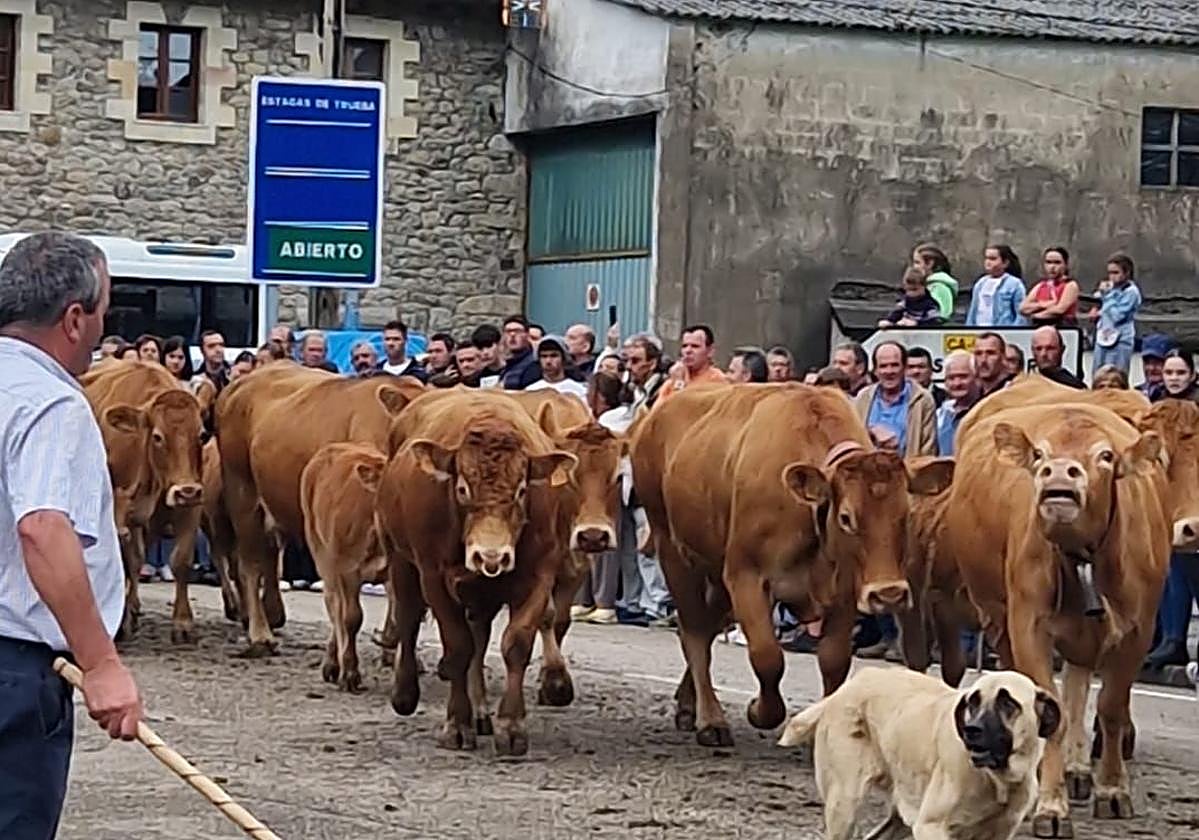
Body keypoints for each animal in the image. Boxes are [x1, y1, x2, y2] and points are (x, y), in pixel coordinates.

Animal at [80, 361, 205, 642]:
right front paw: (122, 621)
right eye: (158, 437)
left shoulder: (189, 507)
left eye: (201, 434)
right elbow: (129, 561)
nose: (187, 491)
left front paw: (183, 622)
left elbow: (181, 560)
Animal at [301, 442, 389, 693]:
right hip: (321, 552)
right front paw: (350, 672)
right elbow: (351, 617)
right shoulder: (347, 571)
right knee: (333, 605)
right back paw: (333, 664)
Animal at [376, 389, 576, 755]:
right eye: (462, 489)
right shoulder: (433, 576)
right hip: (400, 558)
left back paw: (482, 711)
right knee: (408, 617)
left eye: (522, 491)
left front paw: (511, 727)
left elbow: (515, 645)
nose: (490, 554)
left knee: (479, 634)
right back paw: (405, 693)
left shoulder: (539, 576)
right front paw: (457, 724)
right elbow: (458, 647)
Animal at [628, 382, 954, 746]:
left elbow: (834, 660)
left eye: (906, 514)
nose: (888, 594)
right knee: (695, 631)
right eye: (846, 518)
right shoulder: (745, 575)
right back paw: (710, 719)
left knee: (705, 626)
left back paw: (688, 705)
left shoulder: (845, 587)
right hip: (673, 550)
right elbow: (767, 657)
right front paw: (759, 710)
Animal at [943, 402, 1172, 837]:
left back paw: (1078, 769)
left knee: (1080, 684)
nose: (1060, 471)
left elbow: (1111, 707)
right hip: (996, 616)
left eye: (1105, 456)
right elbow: (1050, 712)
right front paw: (1051, 807)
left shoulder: (1139, 630)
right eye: (1040, 455)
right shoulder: (1027, 625)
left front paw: (1112, 790)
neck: (1082, 557)